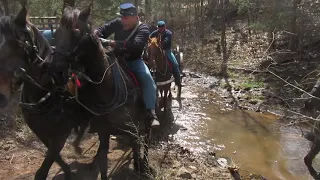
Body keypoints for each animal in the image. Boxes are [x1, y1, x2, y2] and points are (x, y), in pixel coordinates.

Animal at [0, 4, 92, 179]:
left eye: (17, 45)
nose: (2, 95)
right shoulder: (41, 133)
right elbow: (55, 158)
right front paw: (68, 171)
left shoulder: (60, 134)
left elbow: (45, 166)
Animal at [51, 4, 152, 180]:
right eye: (56, 33)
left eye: (76, 31)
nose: (57, 72)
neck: (107, 89)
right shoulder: (103, 132)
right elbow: (103, 162)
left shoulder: (133, 127)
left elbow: (137, 146)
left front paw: (140, 166)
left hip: (144, 122)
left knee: (145, 140)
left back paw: (144, 165)